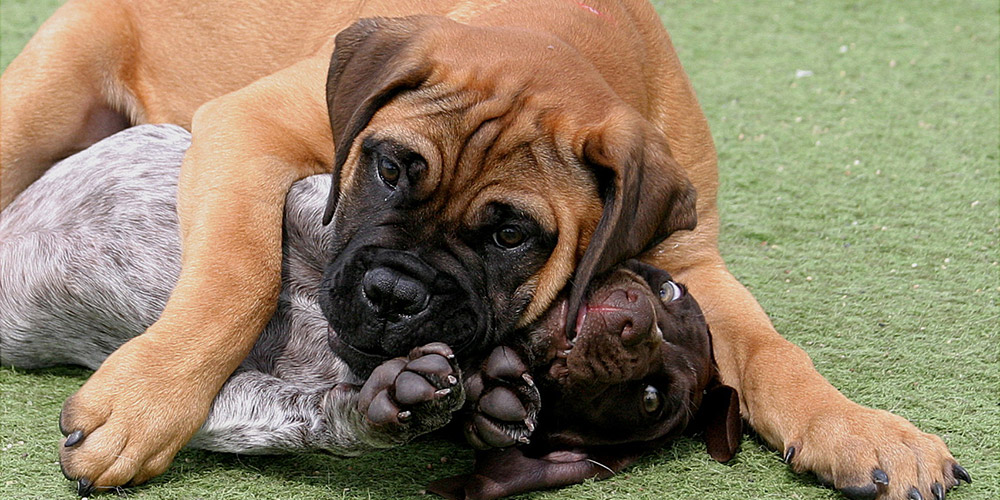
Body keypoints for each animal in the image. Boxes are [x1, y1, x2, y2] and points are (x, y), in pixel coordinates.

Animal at [1, 0, 968, 500]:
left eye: (512, 235)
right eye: (390, 167)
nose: (394, 293)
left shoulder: (689, 264)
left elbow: (772, 352)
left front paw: (860, 429)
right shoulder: (251, 126)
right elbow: (233, 275)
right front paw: (145, 404)